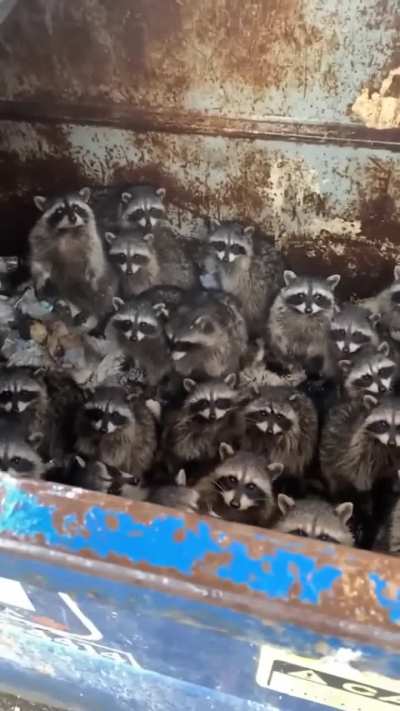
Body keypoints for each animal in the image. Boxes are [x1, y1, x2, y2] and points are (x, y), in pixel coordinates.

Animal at [29, 188, 116, 317]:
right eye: (60, 210)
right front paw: (42, 277)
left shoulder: (92, 240)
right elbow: (39, 261)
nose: (73, 219)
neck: (68, 230)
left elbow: (94, 258)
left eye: (76, 207)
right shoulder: (40, 241)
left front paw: (93, 275)